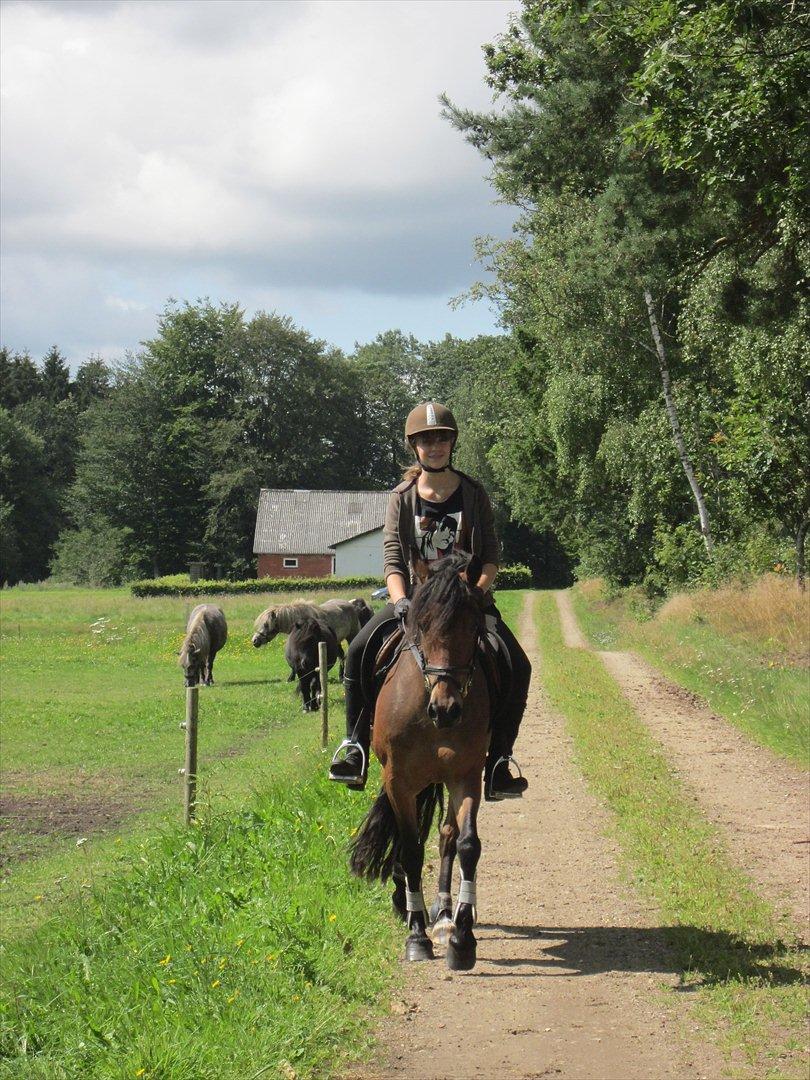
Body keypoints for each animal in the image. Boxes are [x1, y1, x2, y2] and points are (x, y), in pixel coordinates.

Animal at [349, 552, 488, 967]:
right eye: (421, 625)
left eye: (473, 625)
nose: (446, 709)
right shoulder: (398, 779)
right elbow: (410, 849)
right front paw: (416, 935)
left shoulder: (466, 774)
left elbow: (467, 845)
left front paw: (462, 937)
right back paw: (411, 906)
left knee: (446, 835)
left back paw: (442, 914)